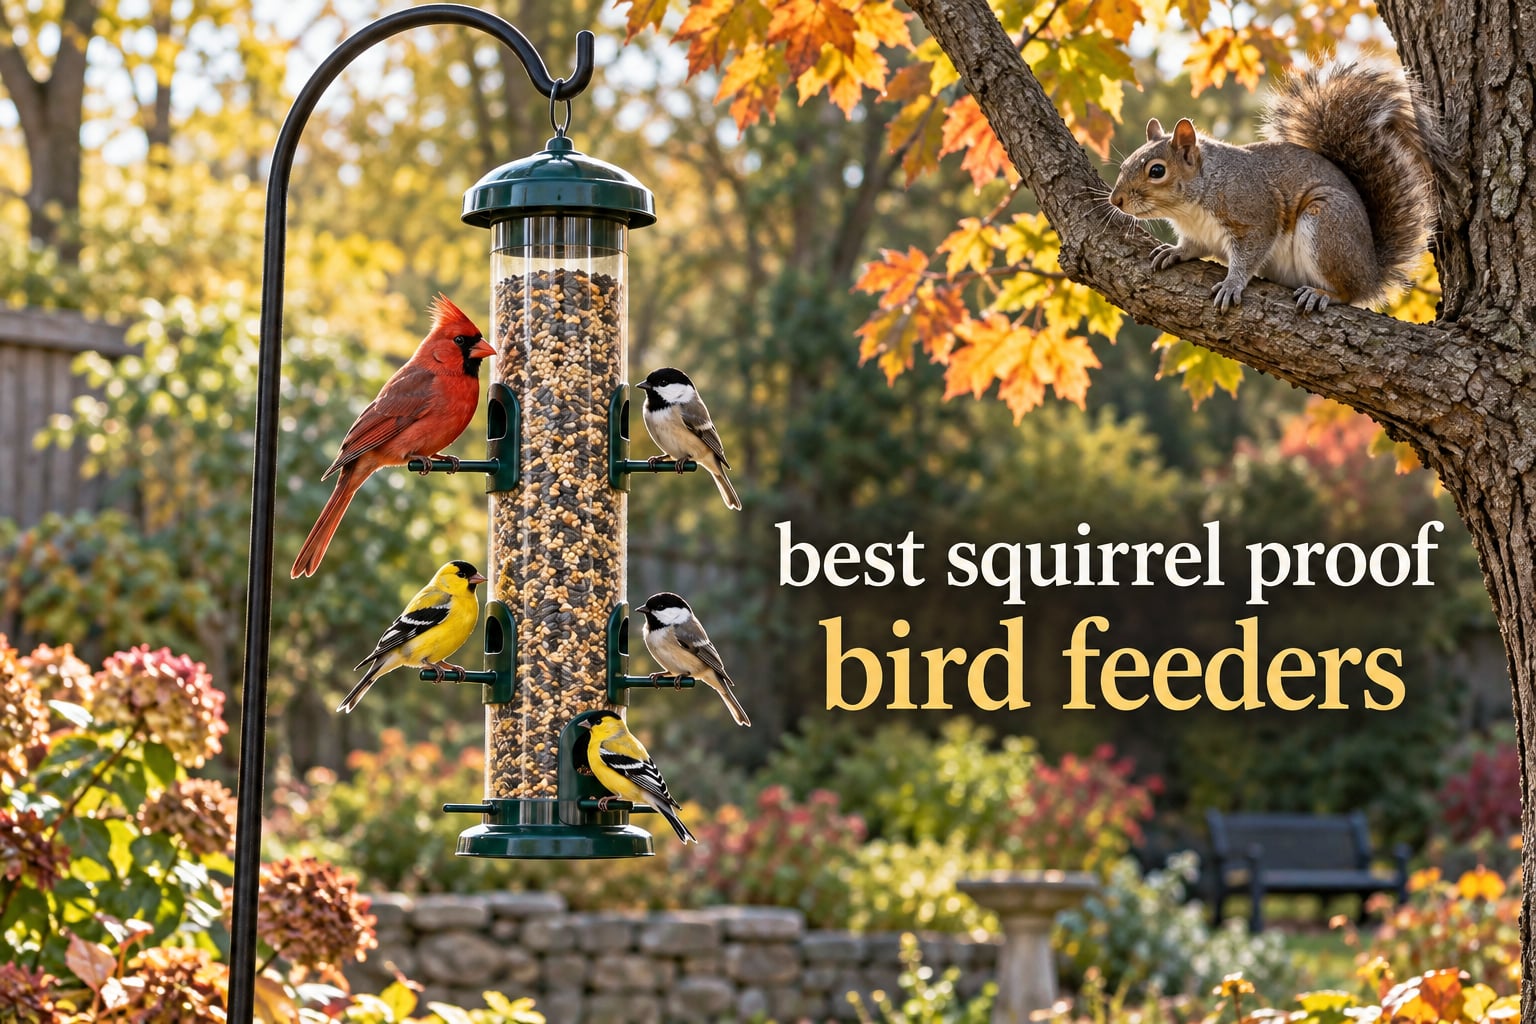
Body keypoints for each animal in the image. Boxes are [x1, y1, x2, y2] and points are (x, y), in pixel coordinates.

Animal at [1108, 62, 1443, 312]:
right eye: (1124, 166)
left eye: (1157, 171)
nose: (1116, 200)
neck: (1190, 207)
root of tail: (1372, 271)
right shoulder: (1198, 234)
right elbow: (1192, 247)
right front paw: (1174, 252)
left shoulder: (1254, 212)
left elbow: (1249, 253)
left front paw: (1232, 284)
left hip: (1327, 228)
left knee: (1350, 292)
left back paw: (1323, 294)